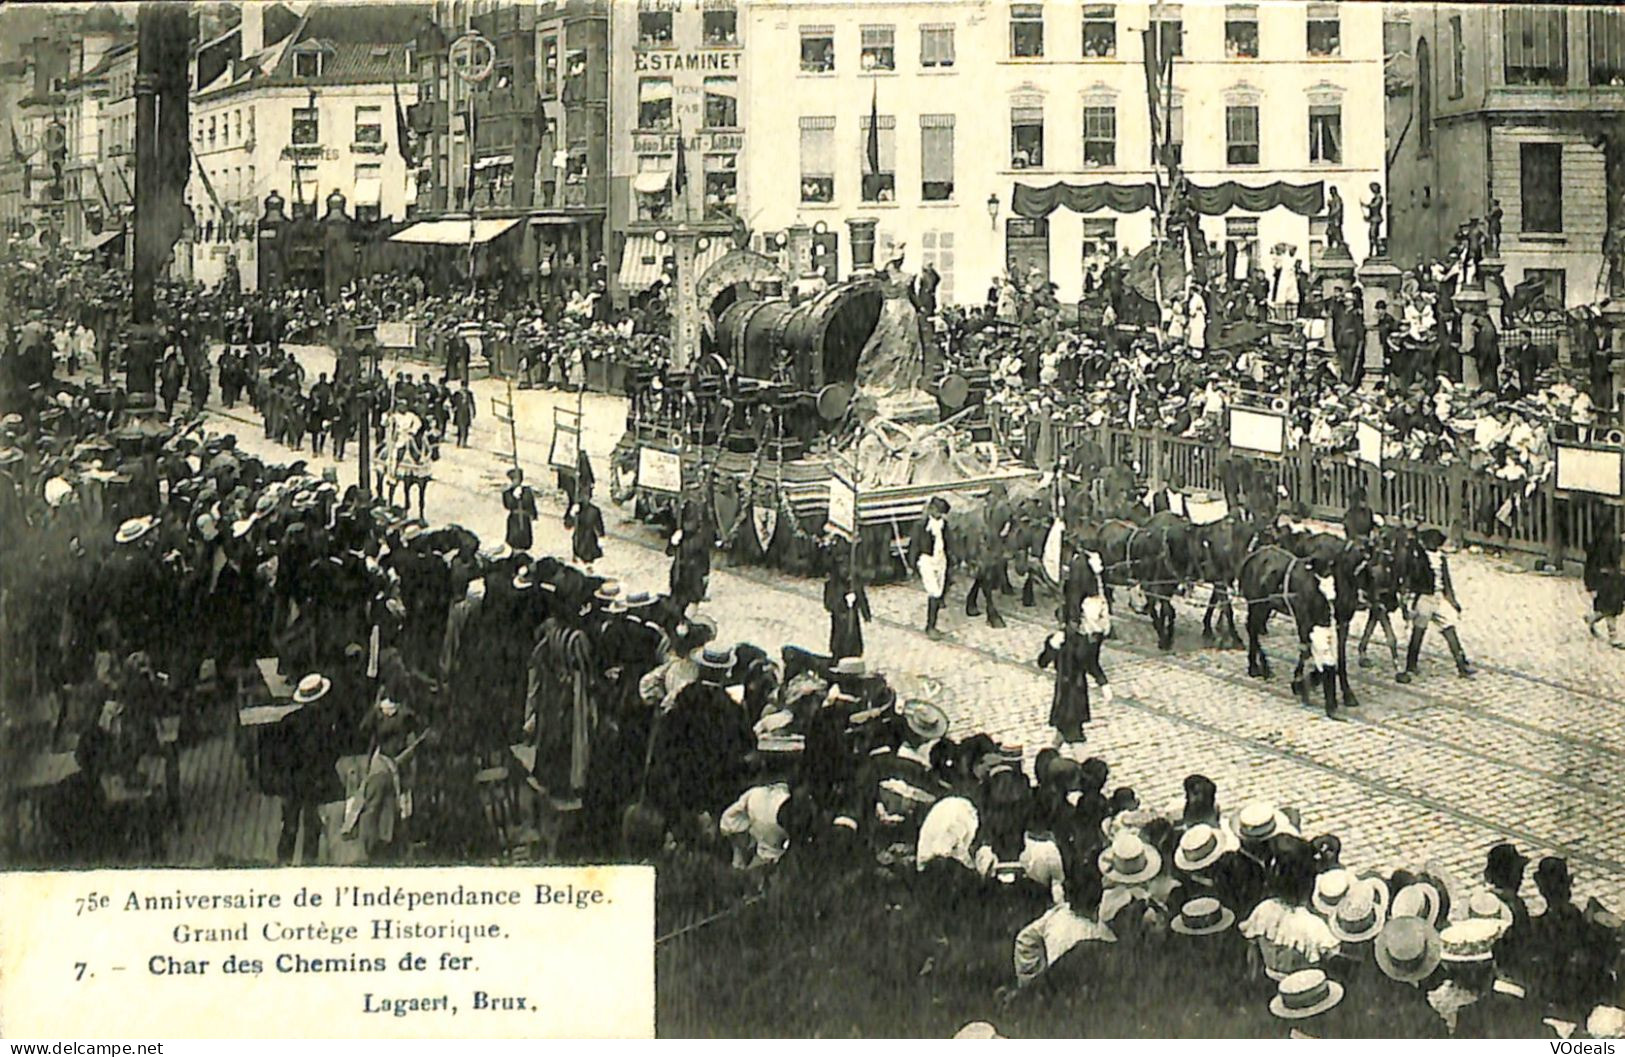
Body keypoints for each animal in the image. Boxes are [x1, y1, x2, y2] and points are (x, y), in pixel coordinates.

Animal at [1235, 543, 1339, 715]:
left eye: (1333, 586)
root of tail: (1252, 556)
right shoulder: (1303, 618)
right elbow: (1306, 649)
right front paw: (1298, 683)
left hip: (1264, 605)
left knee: (1252, 628)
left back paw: (1258, 667)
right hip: (1257, 604)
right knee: (1252, 629)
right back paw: (1258, 667)